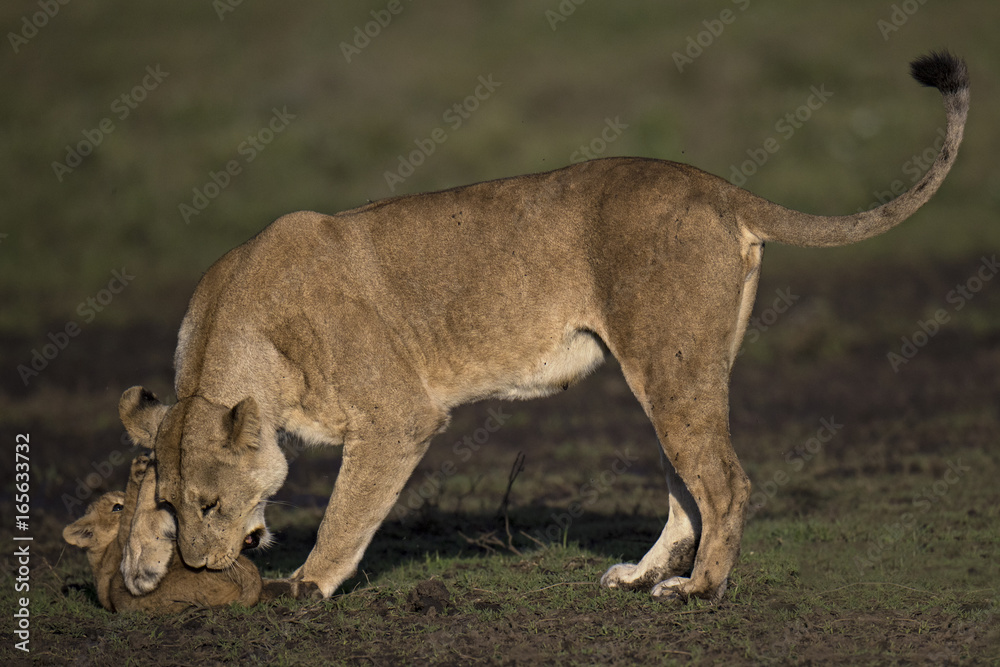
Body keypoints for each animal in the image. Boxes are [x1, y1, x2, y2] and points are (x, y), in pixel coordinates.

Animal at [118, 52, 968, 602]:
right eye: (179, 505)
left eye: (209, 505)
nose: (202, 567)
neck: (234, 329)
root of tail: (716, 185)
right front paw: (137, 561)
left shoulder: (399, 416)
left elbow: (346, 510)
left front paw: (307, 583)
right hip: (672, 369)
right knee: (687, 486)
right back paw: (644, 574)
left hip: (671, 364)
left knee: (725, 481)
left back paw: (698, 590)